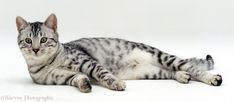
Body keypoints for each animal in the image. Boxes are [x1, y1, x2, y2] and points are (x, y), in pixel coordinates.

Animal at [16, 13, 223, 92]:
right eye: (28, 41)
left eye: (43, 40)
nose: (35, 49)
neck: (48, 63)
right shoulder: (60, 77)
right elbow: (78, 78)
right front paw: (85, 85)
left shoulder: (86, 62)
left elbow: (102, 73)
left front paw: (116, 83)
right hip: (151, 72)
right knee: (173, 72)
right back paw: (182, 76)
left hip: (162, 56)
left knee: (192, 68)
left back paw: (212, 78)